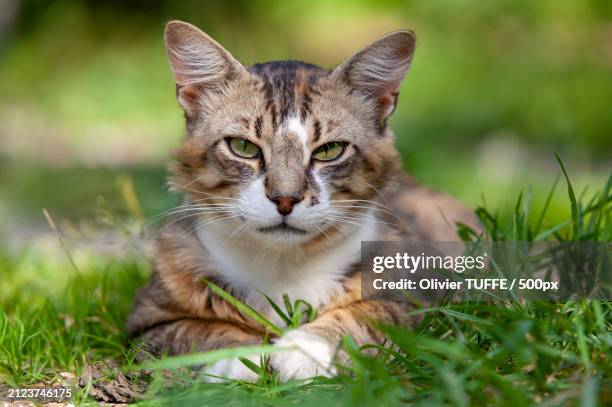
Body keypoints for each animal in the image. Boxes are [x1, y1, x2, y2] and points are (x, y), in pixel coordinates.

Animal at [125, 19, 478, 382]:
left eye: (330, 150)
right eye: (243, 147)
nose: (285, 199)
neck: (283, 267)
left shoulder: (424, 300)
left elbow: (370, 315)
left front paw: (305, 350)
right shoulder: (147, 321)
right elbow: (197, 331)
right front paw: (242, 357)